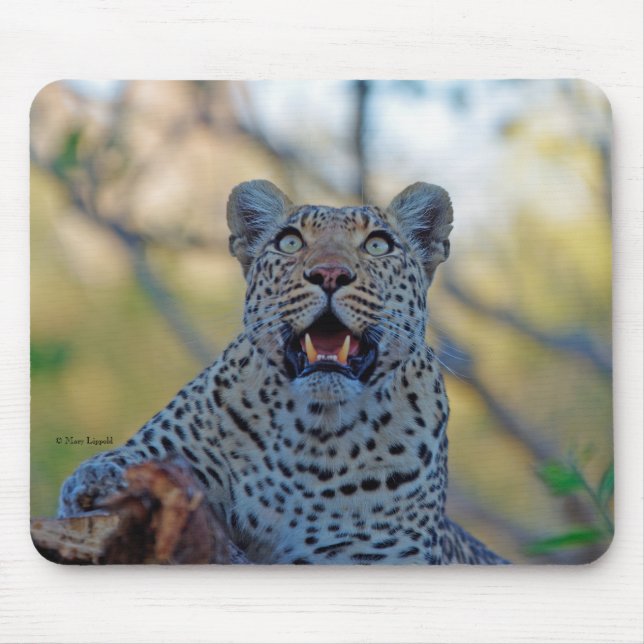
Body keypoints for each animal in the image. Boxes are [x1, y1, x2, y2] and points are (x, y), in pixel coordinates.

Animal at [58, 179, 508, 565]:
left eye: (378, 245)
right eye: (289, 242)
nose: (329, 274)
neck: (317, 435)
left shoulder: (374, 554)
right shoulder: (166, 450)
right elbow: (114, 464)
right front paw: (99, 484)